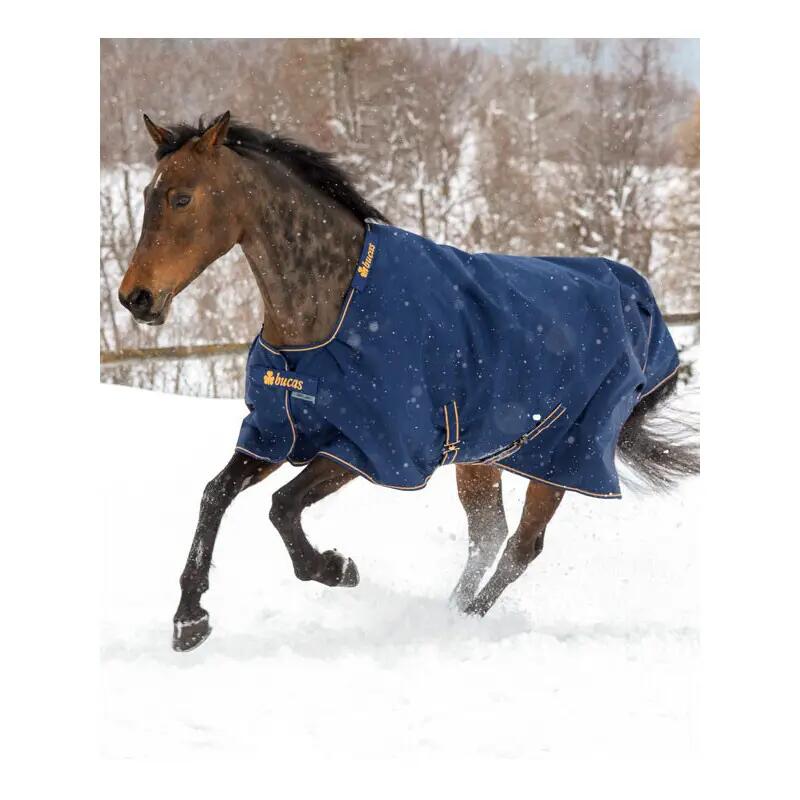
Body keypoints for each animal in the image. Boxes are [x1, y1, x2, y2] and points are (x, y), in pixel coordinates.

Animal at [118, 112, 699, 652]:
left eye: (182, 198)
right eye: (148, 194)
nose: (135, 298)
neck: (331, 309)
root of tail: (642, 305)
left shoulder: (371, 447)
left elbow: (282, 507)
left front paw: (337, 568)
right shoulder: (276, 432)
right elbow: (214, 495)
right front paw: (189, 620)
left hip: (561, 459)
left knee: (521, 547)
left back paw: (462, 624)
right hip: (480, 456)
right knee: (488, 537)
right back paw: (450, 612)